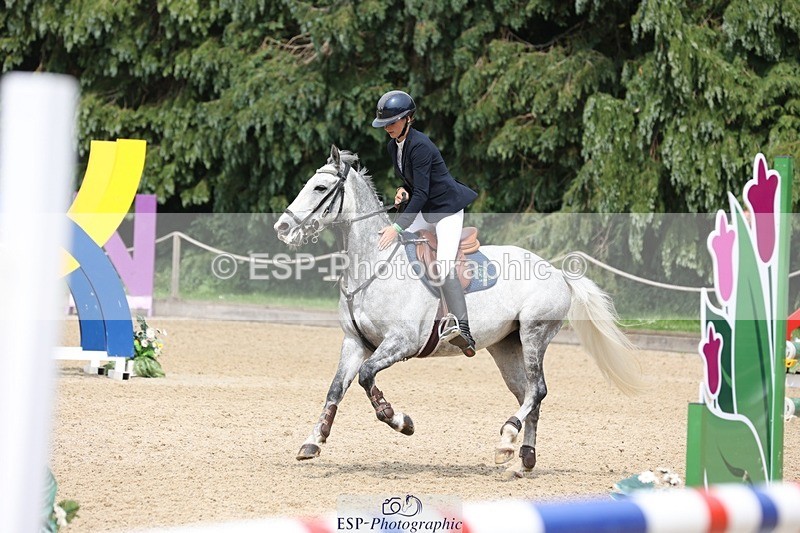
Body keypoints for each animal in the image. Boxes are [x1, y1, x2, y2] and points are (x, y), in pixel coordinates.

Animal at [274, 145, 644, 478]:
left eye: (319, 187)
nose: (282, 228)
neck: (373, 263)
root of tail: (558, 272)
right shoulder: (355, 342)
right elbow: (336, 388)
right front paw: (313, 441)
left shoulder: (401, 342)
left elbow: (366, 377)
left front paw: (399, 420)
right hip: (507, 346)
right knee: (529, 394)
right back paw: (522, 458)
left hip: (534, 333)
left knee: (537, 390)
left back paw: (507, 437)